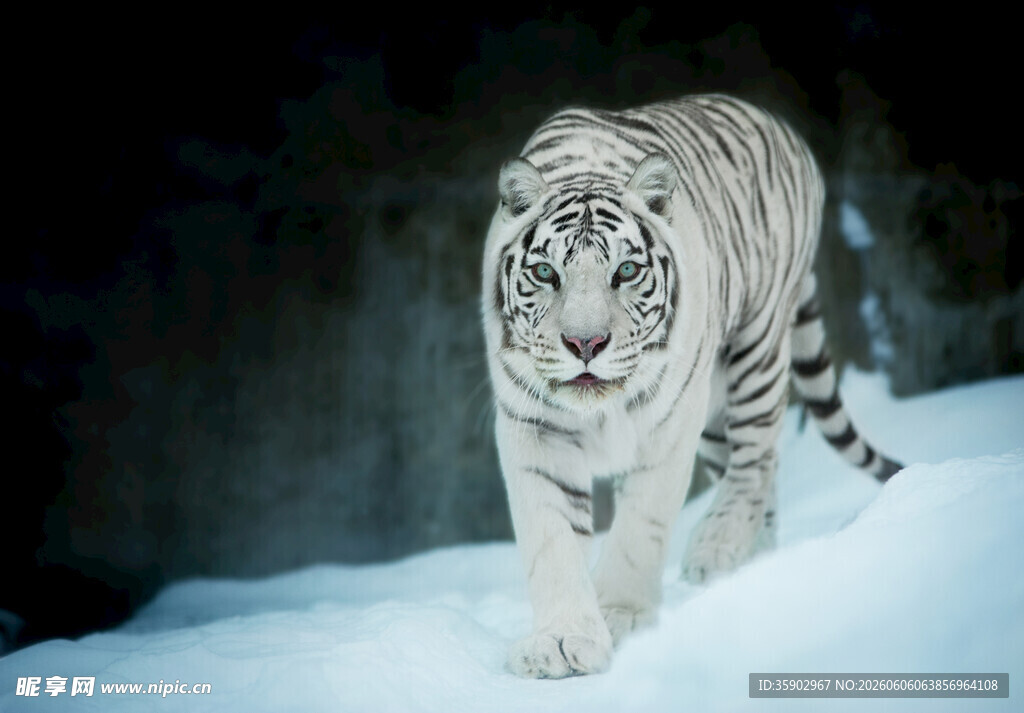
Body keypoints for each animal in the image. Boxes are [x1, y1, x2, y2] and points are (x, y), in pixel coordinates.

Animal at [480, 94, 901, 678]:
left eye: (626, 271)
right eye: (545, 274)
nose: (586, 343)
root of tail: (777, 122)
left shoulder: (671, 422)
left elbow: (641, 526)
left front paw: (621, 616)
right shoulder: (535, 426)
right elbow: (552, 538)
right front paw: (561, 641)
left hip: (755, 350)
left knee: (756, 459)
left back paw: (716, 548)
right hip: (717, 411)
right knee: (757, 470)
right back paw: (756, 561)